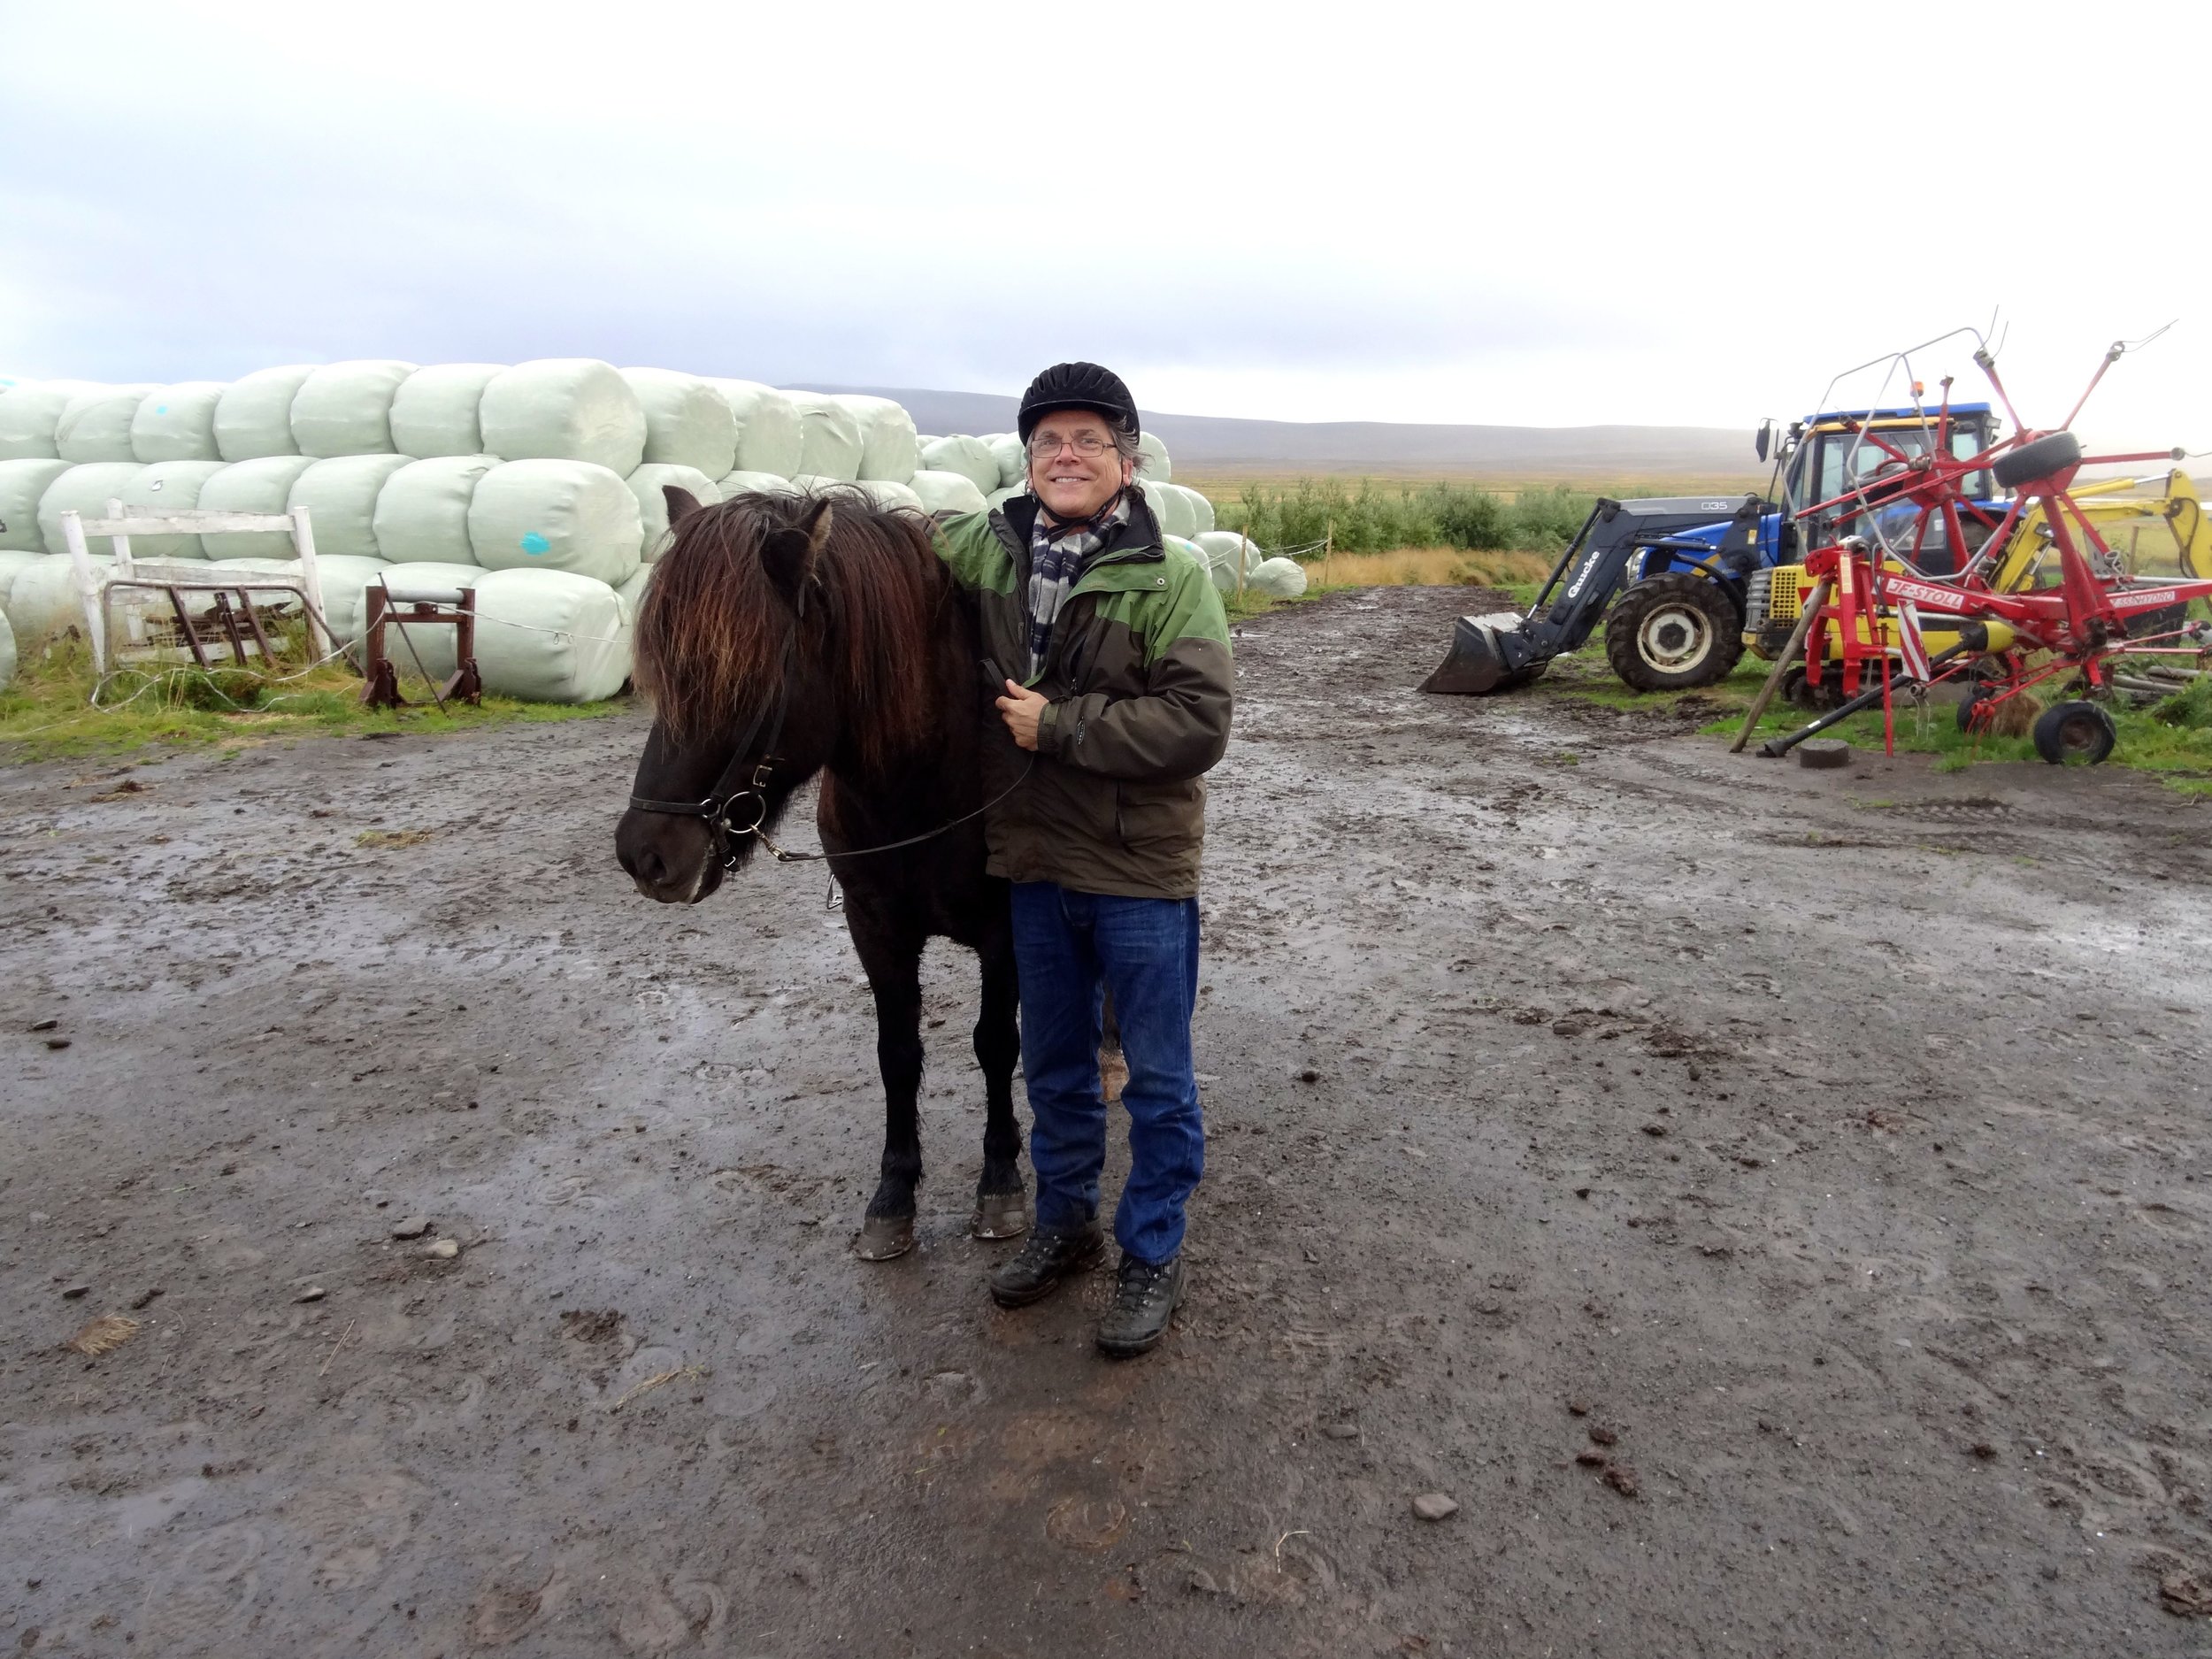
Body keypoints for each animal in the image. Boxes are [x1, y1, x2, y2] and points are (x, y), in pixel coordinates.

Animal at [615, 487, 1026, 1265]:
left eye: (739, 676)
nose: (644, 854)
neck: (924, 780)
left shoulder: (1006, 933)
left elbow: (995, 1044)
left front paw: (1000, 1178)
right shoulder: (874, 928)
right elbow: (898, 1053)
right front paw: (894, 1193)